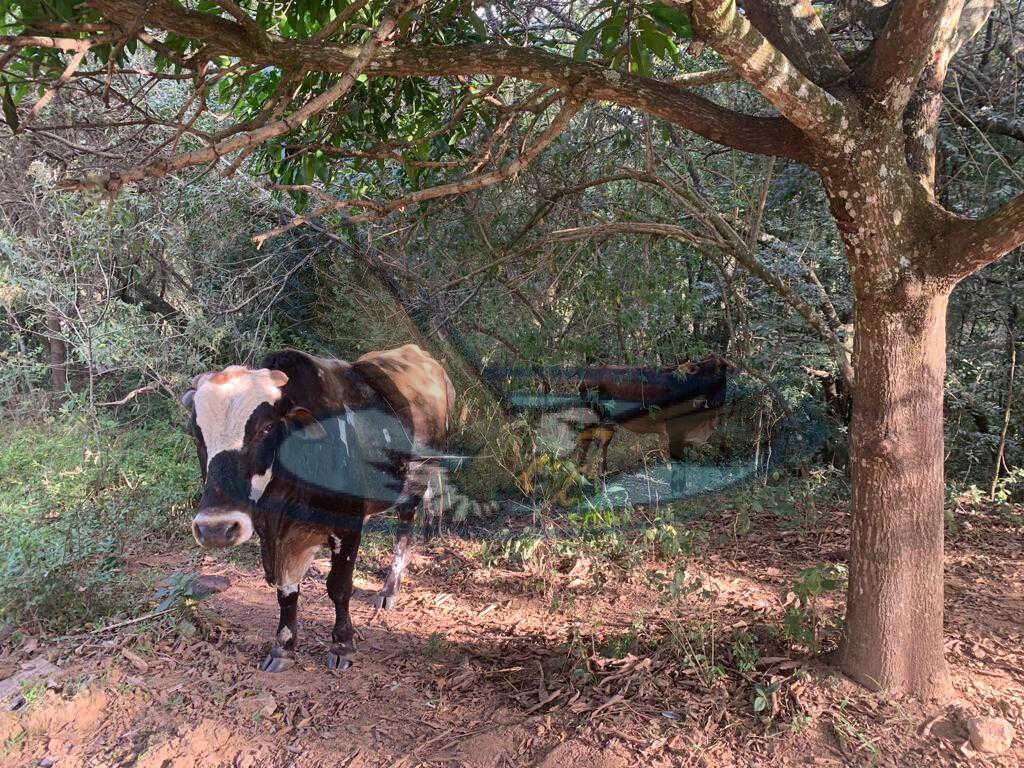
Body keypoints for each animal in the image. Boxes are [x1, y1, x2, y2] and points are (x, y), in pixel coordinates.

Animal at [182, 346, 454, 671]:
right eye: (196, 433)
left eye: (266, 427)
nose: (215, 528)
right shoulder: (283, 537)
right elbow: (287, 592)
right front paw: (283, 647)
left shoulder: (348, 526)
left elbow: (338, 587)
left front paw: (342, 644)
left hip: (415, 479)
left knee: (405, 529)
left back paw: (390, 590)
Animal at [577, 356, 729, 479]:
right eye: (712, 372)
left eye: (723, 370)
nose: (719, 400)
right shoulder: (674, 429)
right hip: (591, 418)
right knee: (585, 441)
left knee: (602, 444)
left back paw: (603, 473)